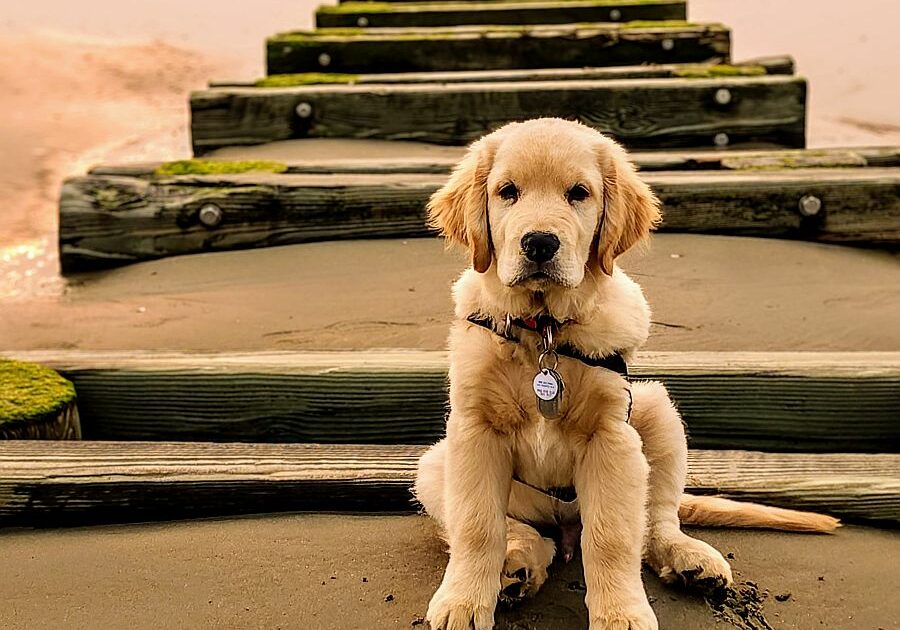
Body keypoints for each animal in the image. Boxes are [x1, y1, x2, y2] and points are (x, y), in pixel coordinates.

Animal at [414, 119, 836, 630]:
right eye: (507, 192)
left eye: (579, 193)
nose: (539, 243)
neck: (544, 331)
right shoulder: (474, 432)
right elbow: (477, 526)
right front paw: (463, 601)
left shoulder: (612, 439)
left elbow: (612, 535)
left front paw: (621, 613)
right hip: (435, 464)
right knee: (521, 530)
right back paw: (518, 565)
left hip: (656, 411)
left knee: (655, 519)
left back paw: (689, 559)